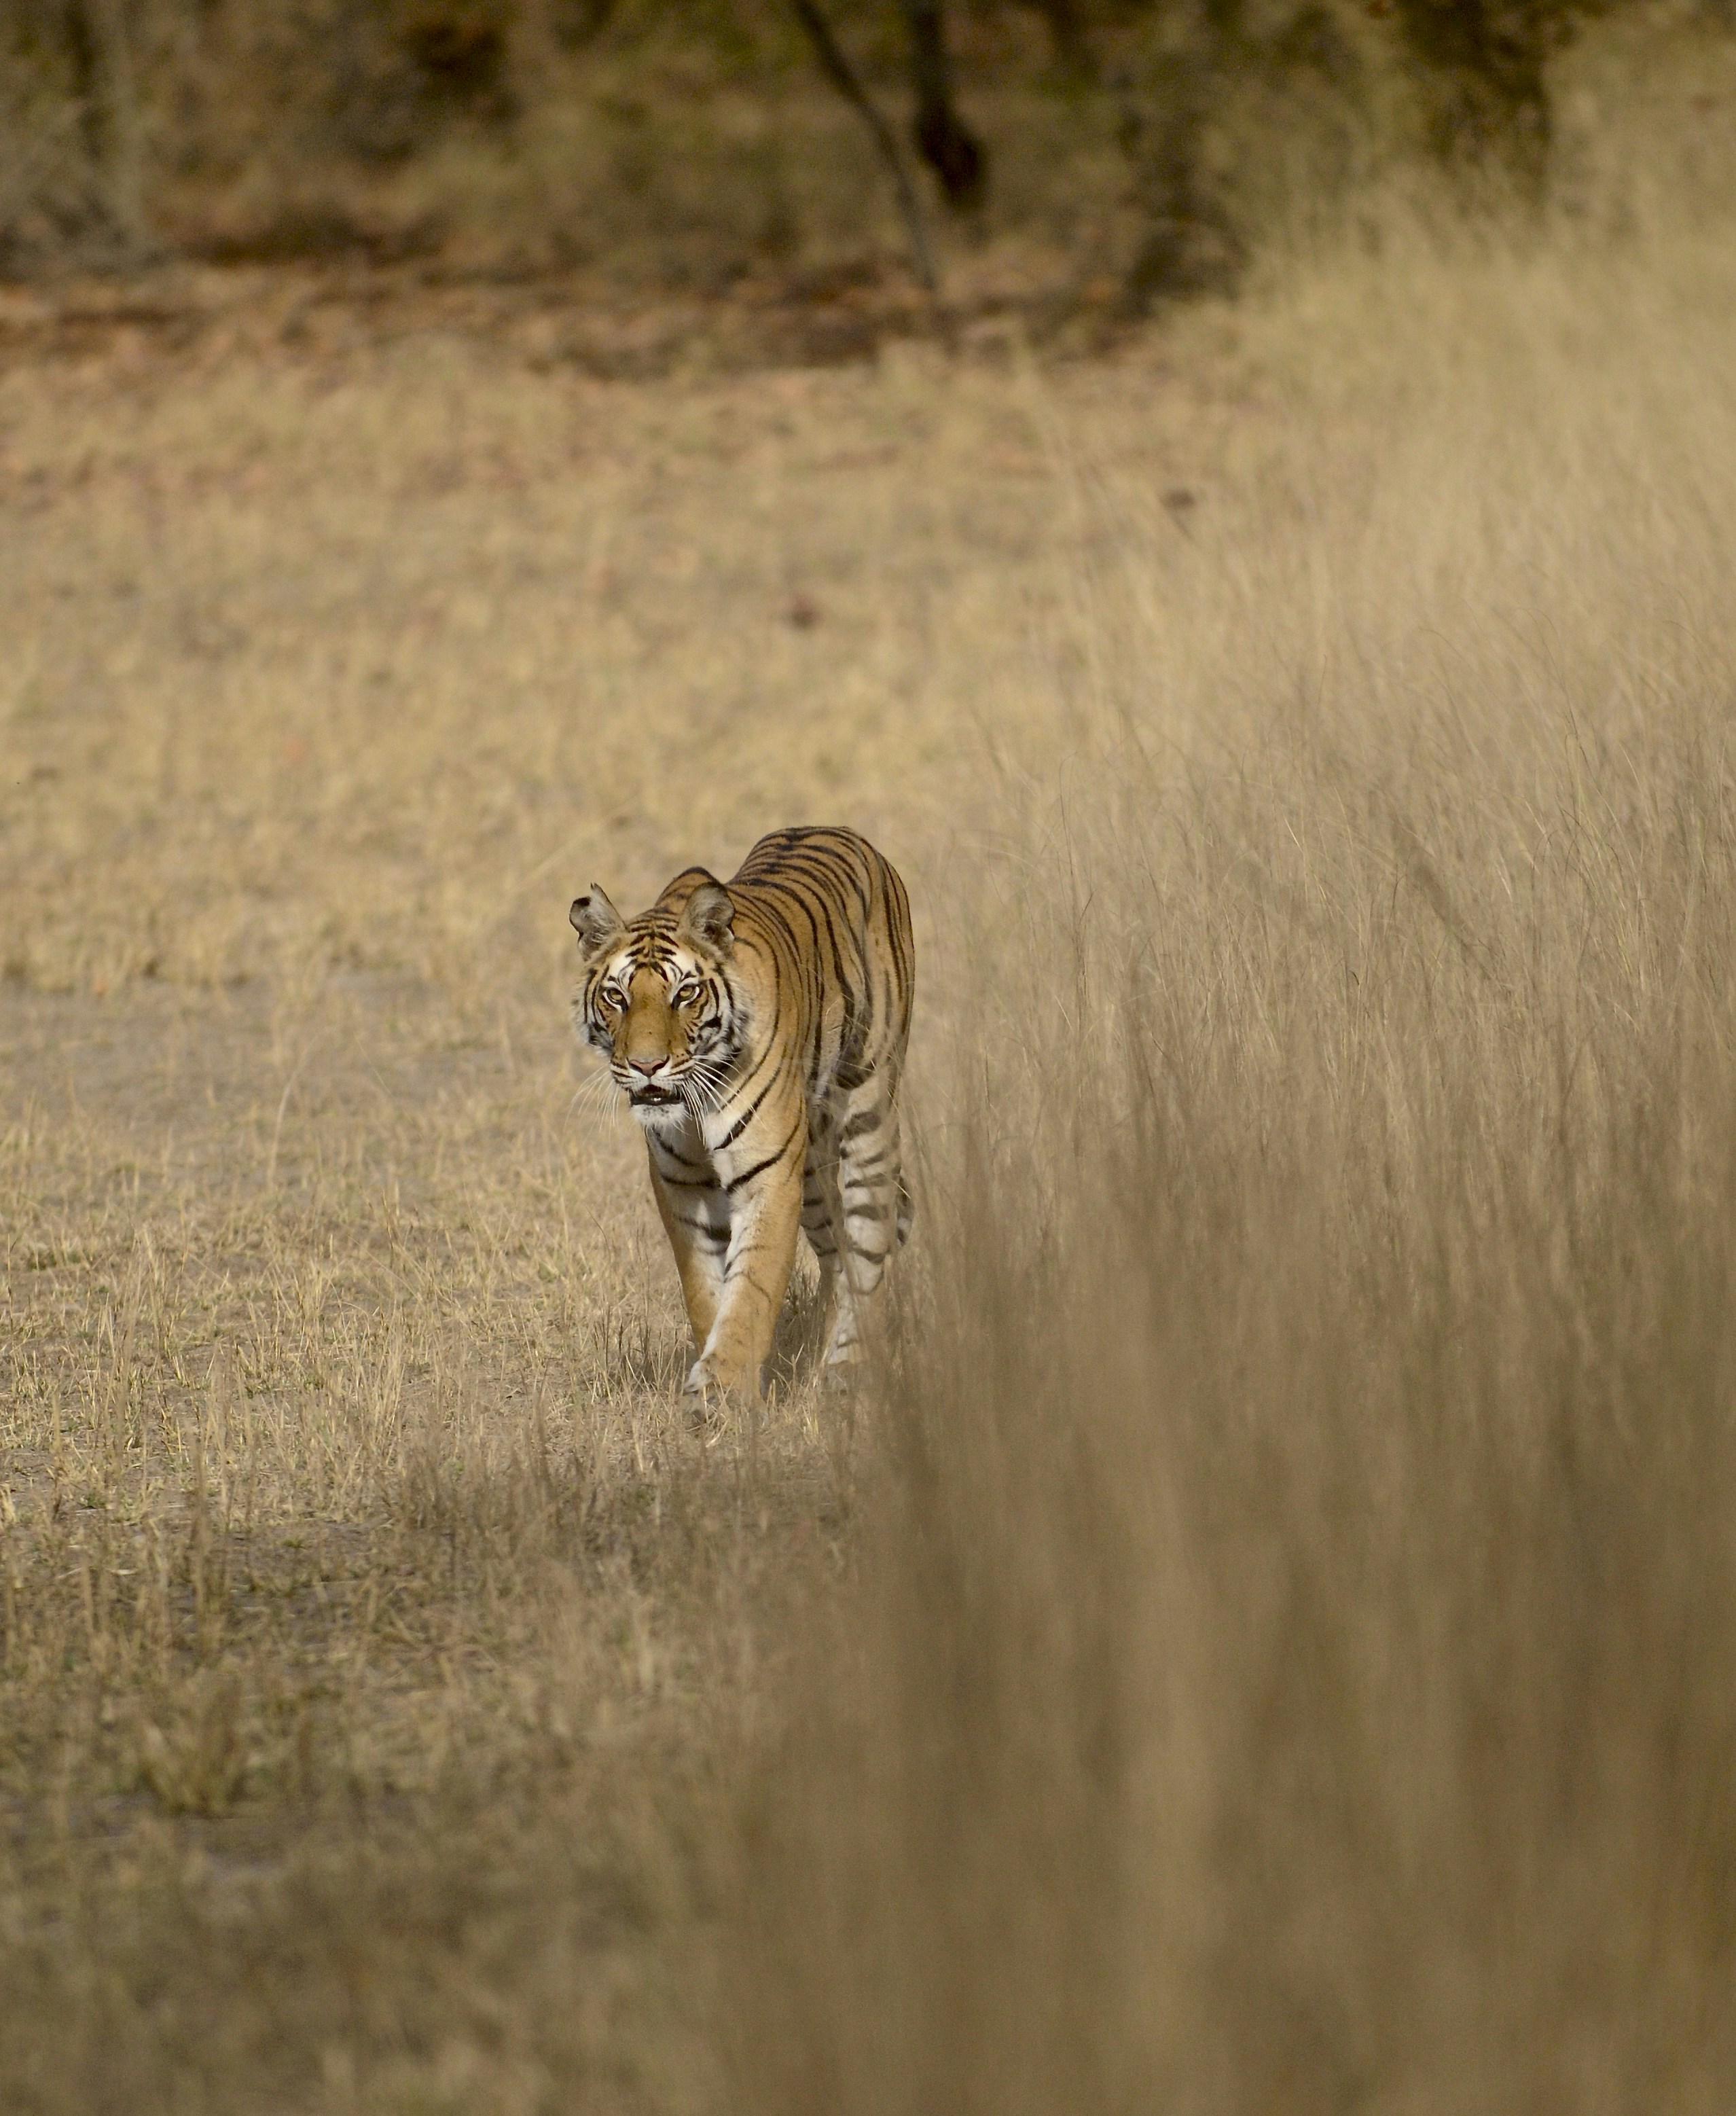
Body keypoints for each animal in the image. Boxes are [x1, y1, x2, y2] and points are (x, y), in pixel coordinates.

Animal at [569, 825, 915, 1404]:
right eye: (616, 996)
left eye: (684, 993)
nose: (646, 1066)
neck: (691, 1103)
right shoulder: (681, 1182)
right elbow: (705, 1289)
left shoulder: (769, 1176)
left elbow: (752, 1287)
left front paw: (721, 1393)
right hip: (813, 1166)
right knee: (837, 1253)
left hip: (867, 1108)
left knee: (871, 1242)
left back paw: (850, 1366)